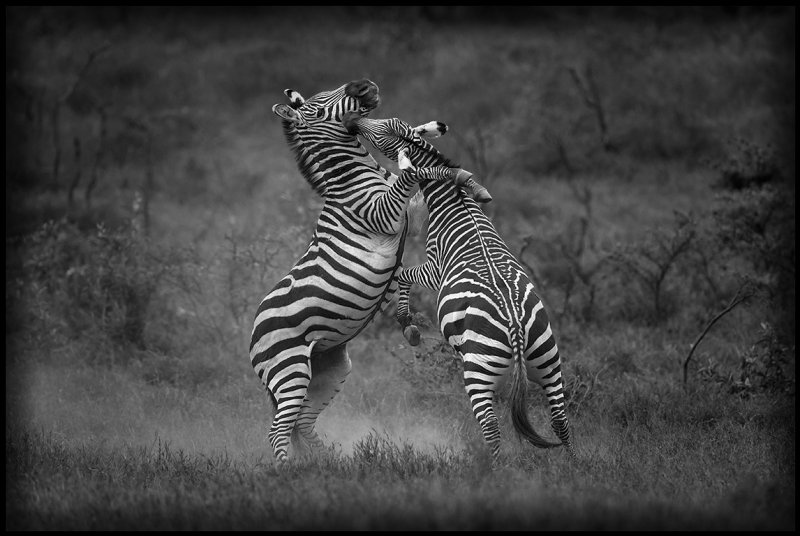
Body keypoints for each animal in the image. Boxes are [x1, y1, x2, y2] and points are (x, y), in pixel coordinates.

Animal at [250, 77, 476, 466]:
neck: (355, 179)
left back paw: (331, 462)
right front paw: (444, 167)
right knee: (278, 429)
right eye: (315, 110)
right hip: (289, 369)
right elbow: (413, 173)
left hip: (328, 369)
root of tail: (252, 337)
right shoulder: (384, 213)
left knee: (301, 423)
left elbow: (417, 178)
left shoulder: (410, 216)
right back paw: (288, 471)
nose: (363, 85)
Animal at [346, 115, 576, 466]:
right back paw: (575, 464)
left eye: (382, 129)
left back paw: (492, 470)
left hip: (479, 370)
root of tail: (515, 326)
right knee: (560, 419)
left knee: (492, 427)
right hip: (548, 360)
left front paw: (407, 324)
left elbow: (403, 275)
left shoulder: (434, 269)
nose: (354, 121)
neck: (455, 202)